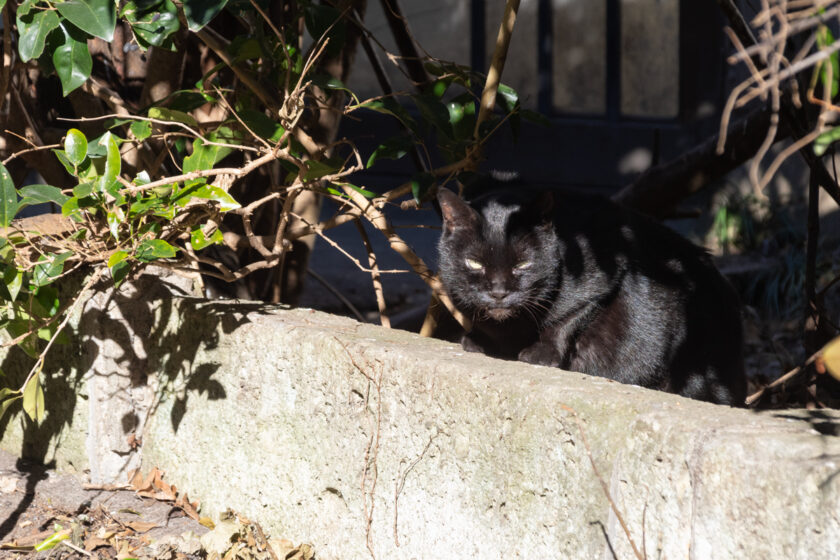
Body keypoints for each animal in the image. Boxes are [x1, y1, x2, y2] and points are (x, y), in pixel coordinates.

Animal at [436, 186, 744, 404]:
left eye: (523, 264)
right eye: (474, 263)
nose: (499, 292)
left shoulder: (606, 273)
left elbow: (568, 319)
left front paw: (541, 354)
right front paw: (479, 339)